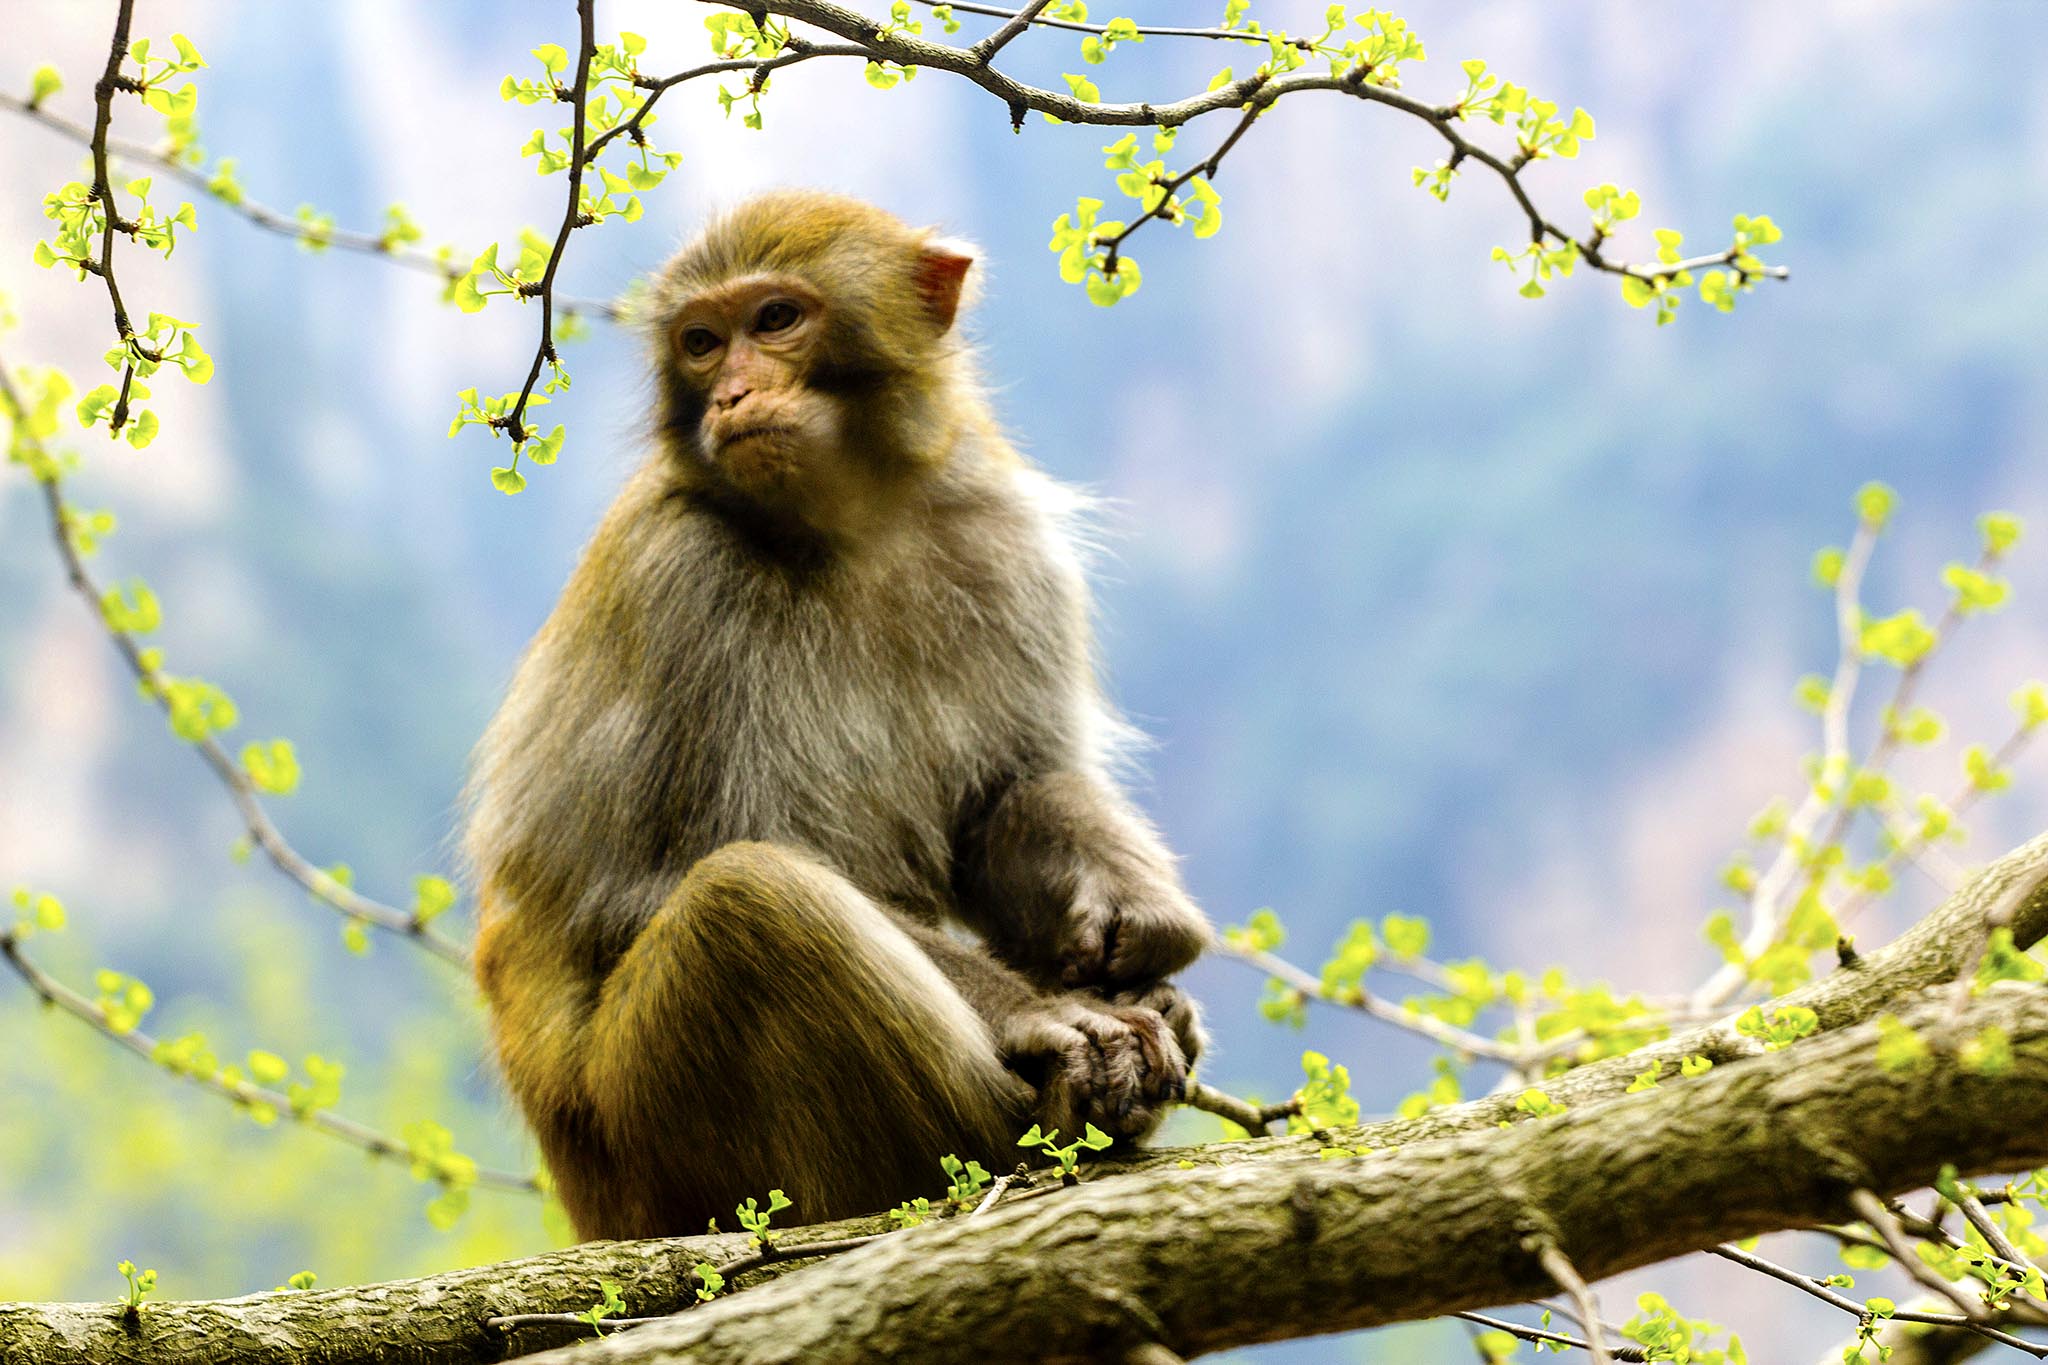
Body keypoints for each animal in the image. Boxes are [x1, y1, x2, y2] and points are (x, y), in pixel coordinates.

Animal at [464, 192, 1212, 1252]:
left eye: (776, 319)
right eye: (702, 343)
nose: (733, 394)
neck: (853, 524)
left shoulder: (1007, 541)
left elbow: (1004, 795)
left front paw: (1131, 913)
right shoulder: (680, 579)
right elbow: (638, 885)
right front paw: (1049, 1016)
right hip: (656, 1149)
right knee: (746, 904)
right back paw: (1034, 1124)